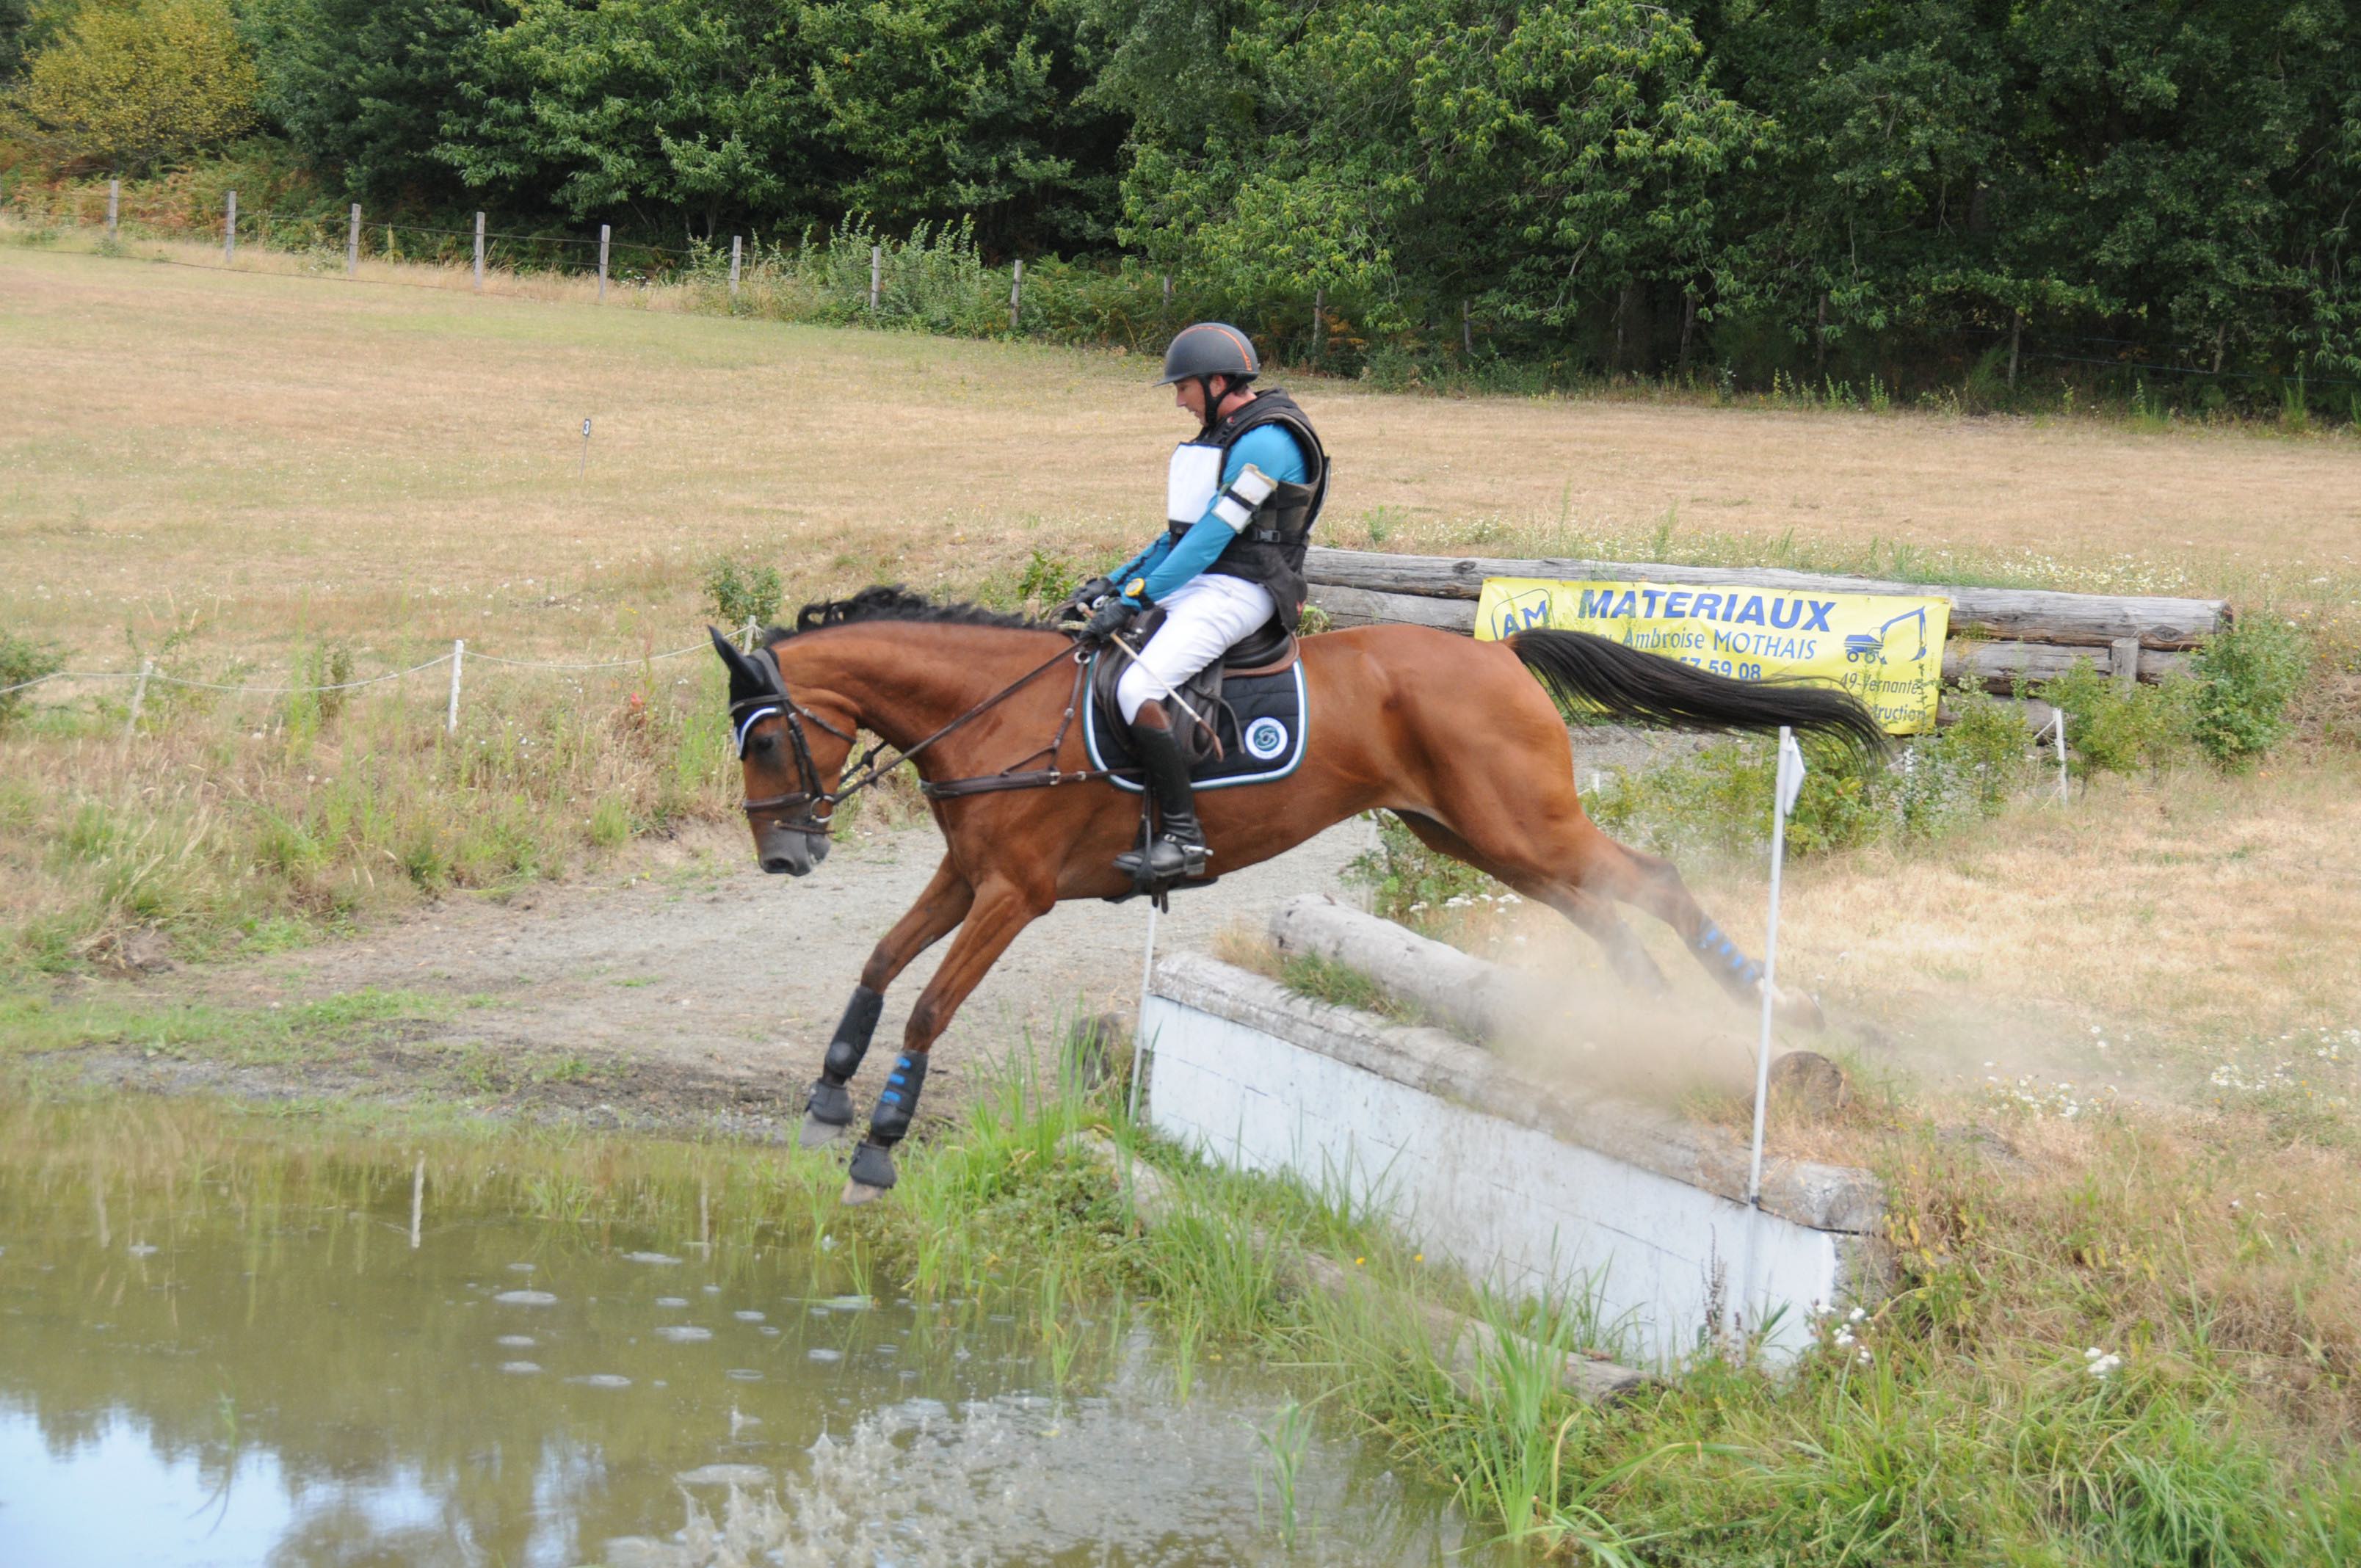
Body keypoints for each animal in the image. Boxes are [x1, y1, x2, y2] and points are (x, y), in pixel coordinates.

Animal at [703, 588, 1879, 1199]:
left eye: (764, 743)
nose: (784, 861)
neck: (998, 716)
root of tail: (1499, 650)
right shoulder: (964, 875)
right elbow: (879, 964)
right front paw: (828, 1093)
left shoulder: (1016, 893)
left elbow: (932, 1004)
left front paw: (880, 1141)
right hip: (1479, 840)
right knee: (1595, 907)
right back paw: (1640, 1019)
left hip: (1517, 825)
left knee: (1652, 885)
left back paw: (1766, 1009)